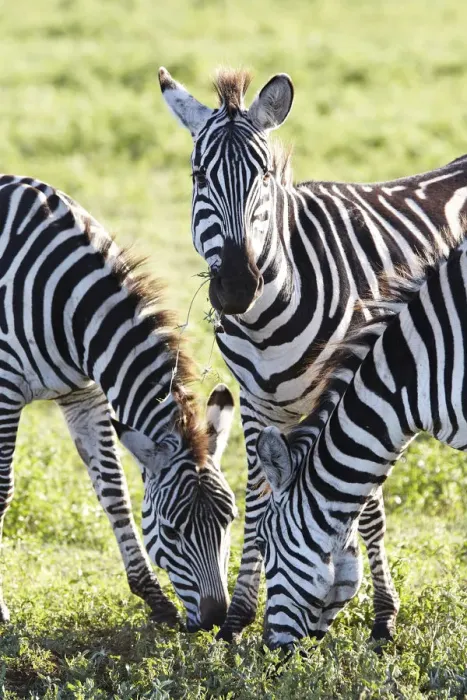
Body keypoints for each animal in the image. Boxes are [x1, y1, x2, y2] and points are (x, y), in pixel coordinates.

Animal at [0, 174, 237, 632]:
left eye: (229, 520)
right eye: (172, 531)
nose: (217, 619)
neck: (70, 306)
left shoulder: (83, 394)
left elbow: (113, 493)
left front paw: (155, 600)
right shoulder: (4, 389)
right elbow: (2, 491)